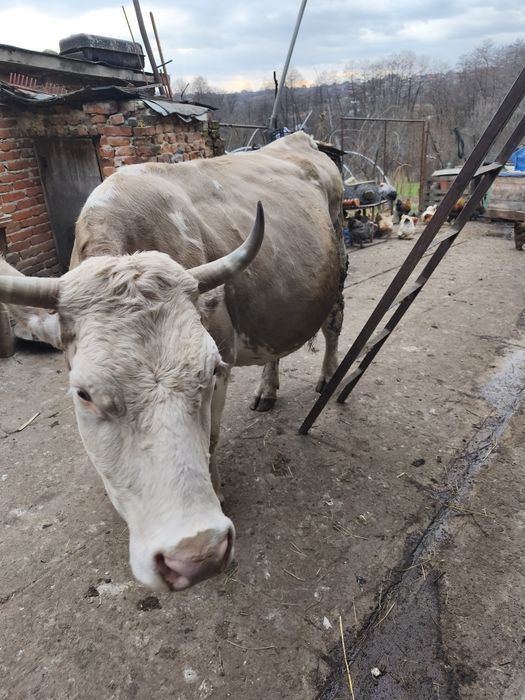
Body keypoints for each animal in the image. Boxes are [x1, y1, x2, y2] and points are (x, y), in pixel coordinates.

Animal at [0, 131, 346, 591]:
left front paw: (216, 489)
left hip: (337, 275)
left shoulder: (224, 359)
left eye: (209, 372)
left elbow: (211, 438)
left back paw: (328, 377)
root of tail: (303, 140)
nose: (195, 556)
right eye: (84, 394)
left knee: (333, 328)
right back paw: (267, 391)